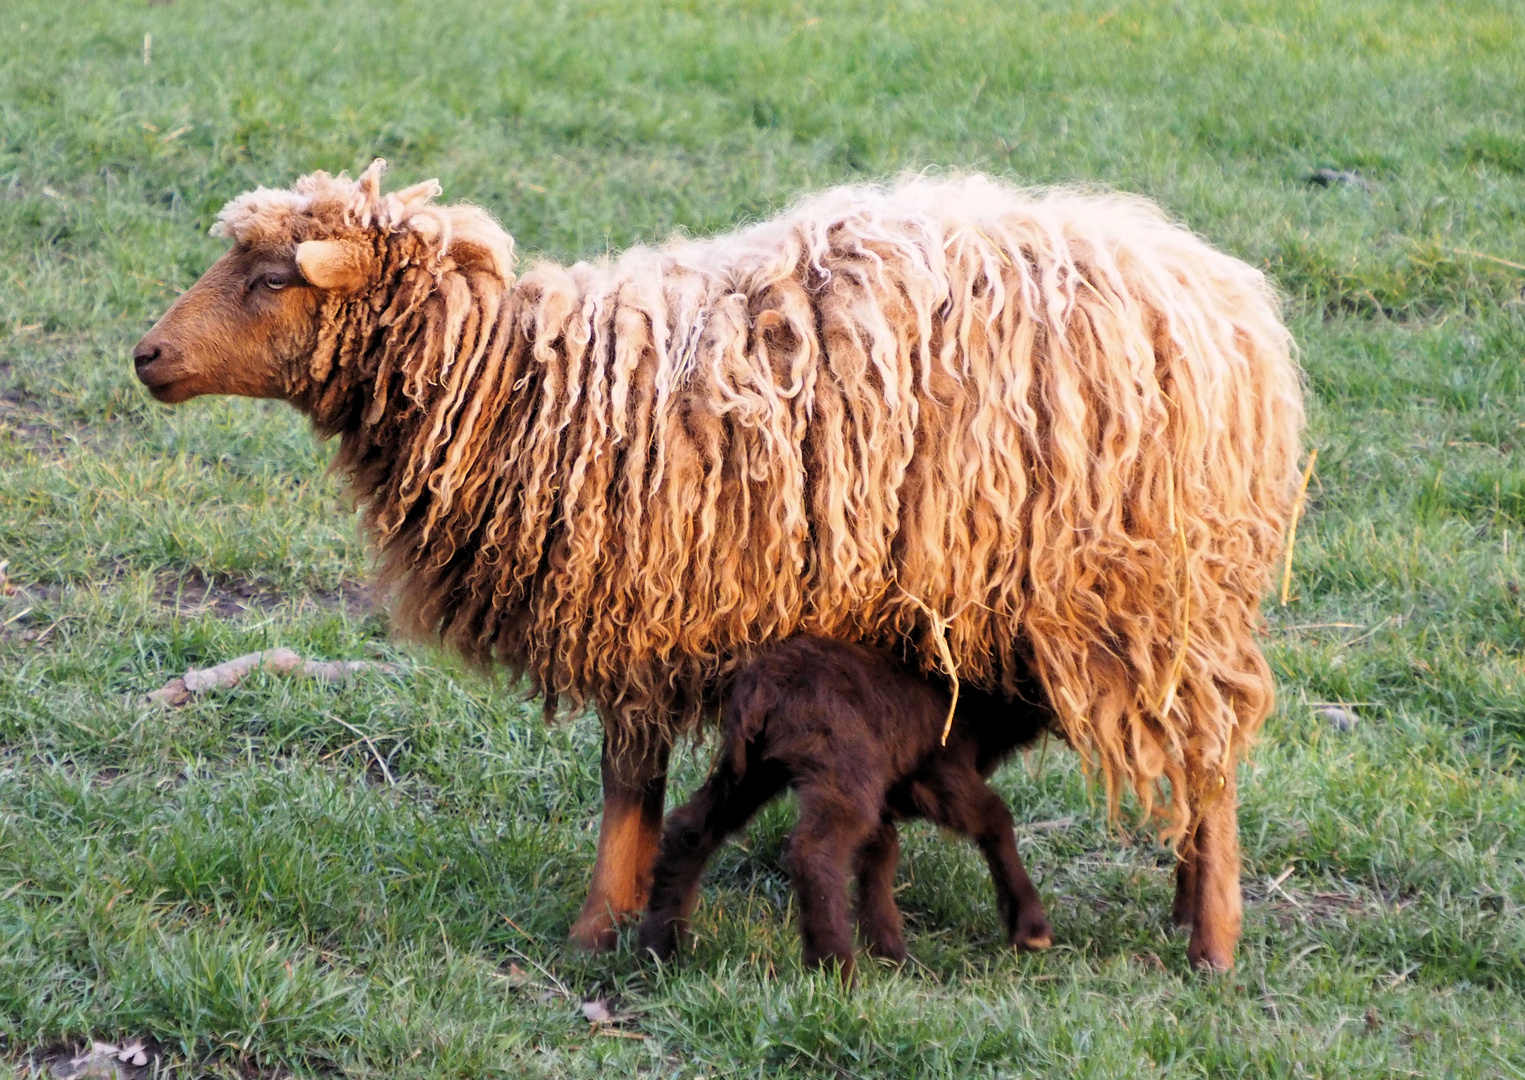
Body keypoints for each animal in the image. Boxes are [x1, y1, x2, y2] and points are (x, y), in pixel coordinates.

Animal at [637, 631, 1055, 976]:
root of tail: (764, 686)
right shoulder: (937, 774)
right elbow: (993, 817)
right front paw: (1031, 928)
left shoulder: (886, 795)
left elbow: (879, 852)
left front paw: (887, 949)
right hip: (838, 764)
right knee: (815, 852)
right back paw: (836, 968)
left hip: (754, 769)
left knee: (691, 829)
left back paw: (660, 949)